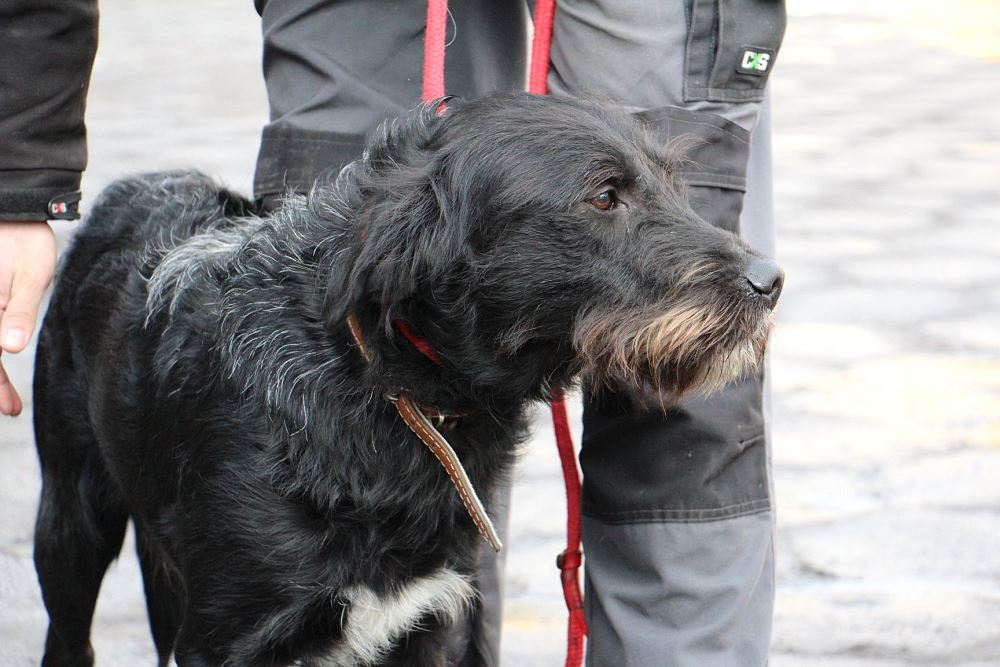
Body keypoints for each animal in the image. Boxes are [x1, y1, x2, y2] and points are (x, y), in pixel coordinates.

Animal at [32, 93, 782, 667]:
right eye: (604, 196)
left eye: (673, 184)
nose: (769, 282)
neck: (387, 393)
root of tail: (135, 187)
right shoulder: (230, 637)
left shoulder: (434, 617)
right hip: (69, 519)